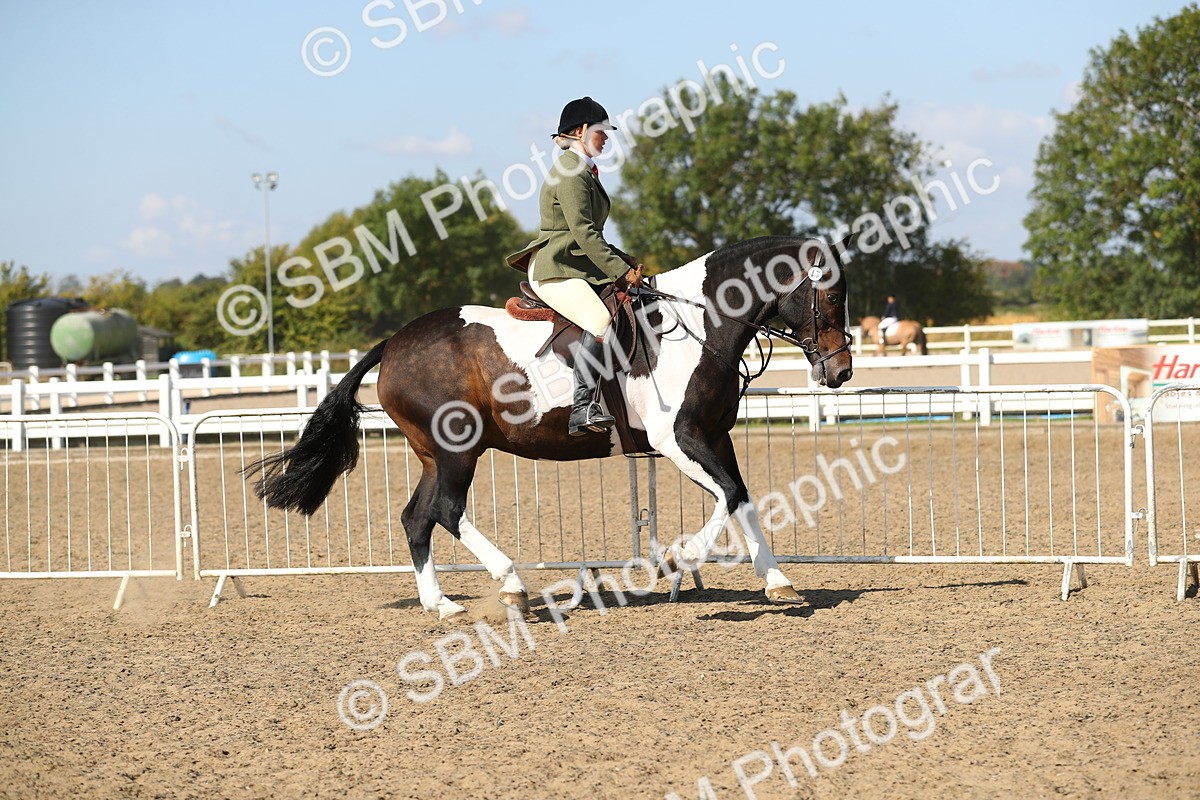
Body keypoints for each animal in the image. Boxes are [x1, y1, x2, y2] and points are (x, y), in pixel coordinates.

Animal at [244, 235, 854, 618]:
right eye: (829, 293)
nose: (841, 371)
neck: (698, 322)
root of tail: (394, 342)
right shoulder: (677, 439)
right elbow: (727, 495)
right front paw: (677, 560)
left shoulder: (714, 435)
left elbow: (743, 497)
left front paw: (777, 581)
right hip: (457, 449)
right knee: (445, 511)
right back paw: (511, 587)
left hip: (433, 454)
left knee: (417, 518)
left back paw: (441, 604)